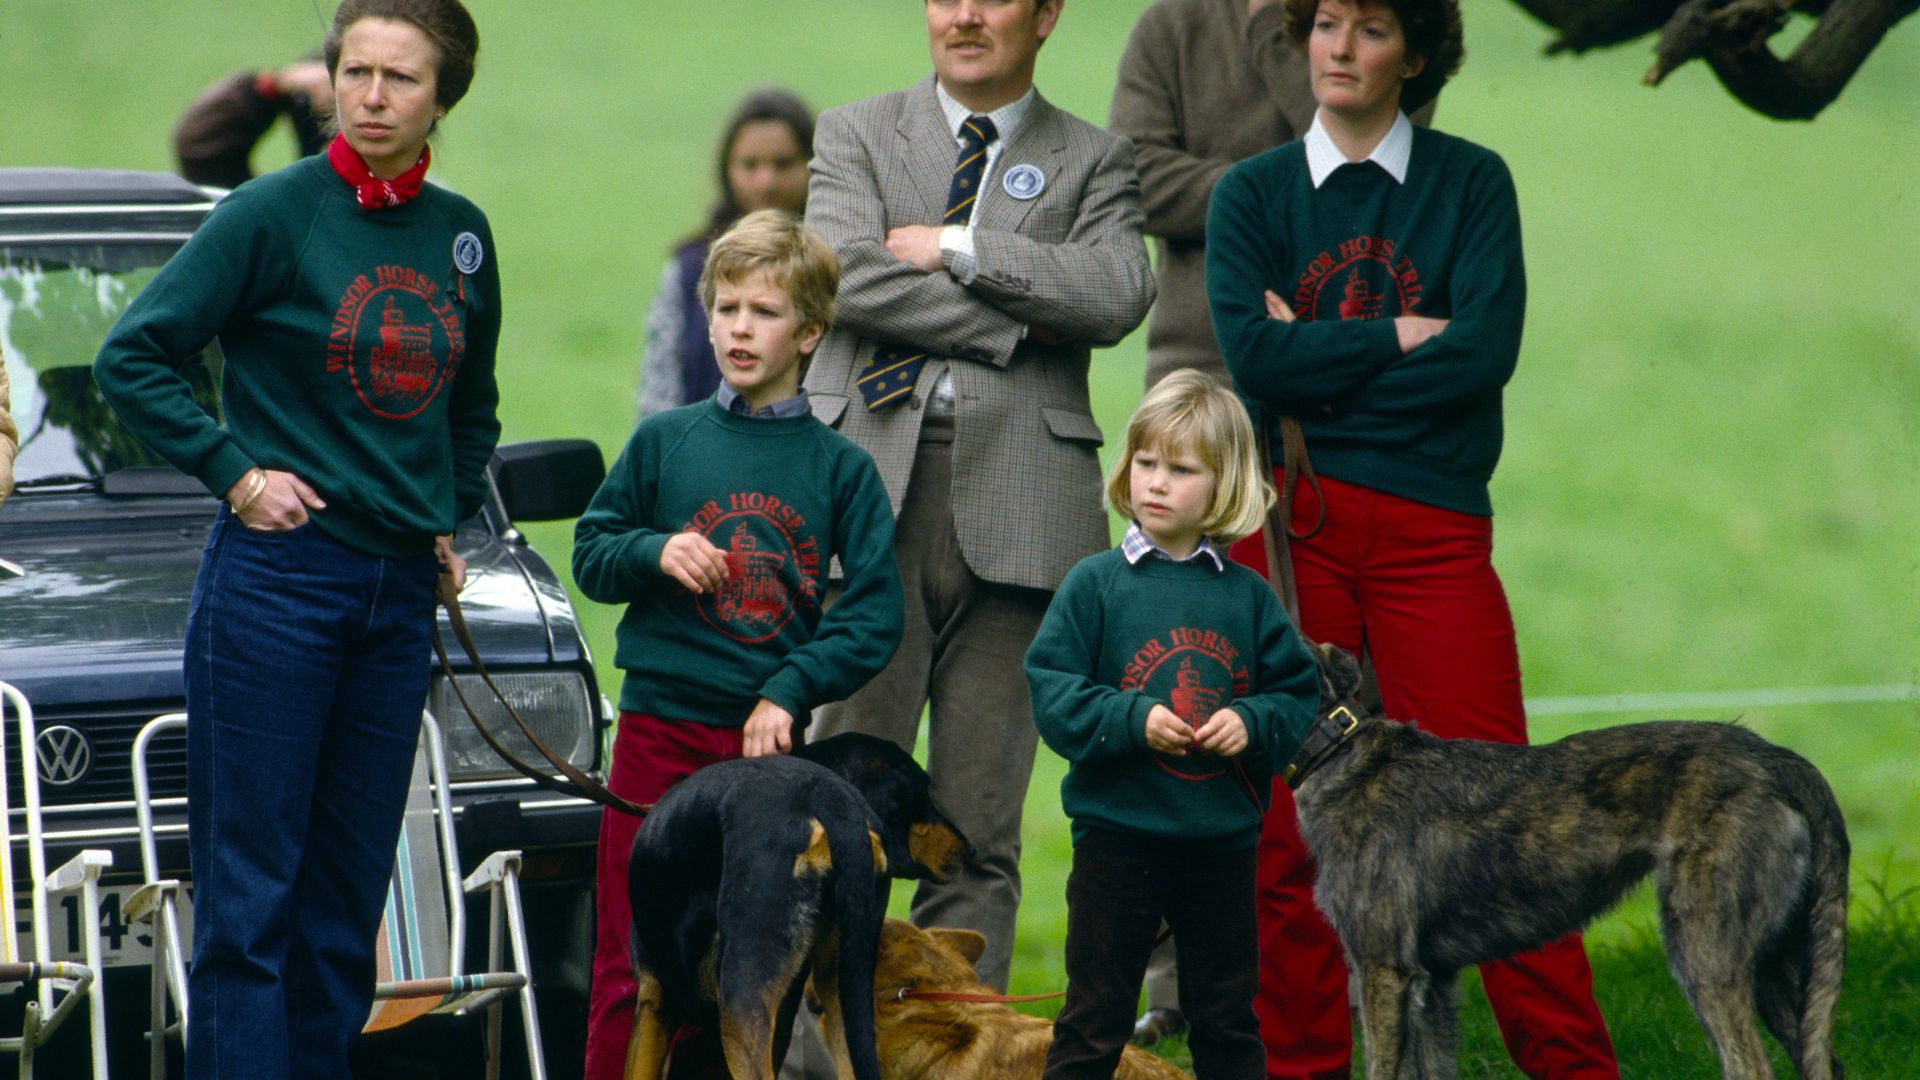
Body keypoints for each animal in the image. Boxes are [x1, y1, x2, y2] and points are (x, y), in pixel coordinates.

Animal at [622, 730, 967, 1076]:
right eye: (921, 791)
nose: (971, 851)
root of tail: (829, 797)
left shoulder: (654, 1000)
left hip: (740, 1001)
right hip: (844, 996)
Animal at [1282, 641, 1850, 1068]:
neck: (1339, 756)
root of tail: (1778, 760)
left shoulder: (1384, 971)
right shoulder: (1434, 984)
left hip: (1705, 954)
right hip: (1779, 968)